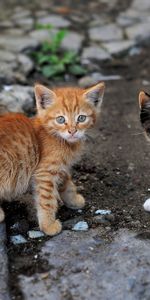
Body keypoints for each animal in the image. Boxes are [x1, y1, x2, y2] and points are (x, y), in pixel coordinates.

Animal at [0, 83, 105, 236]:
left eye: (81, 118)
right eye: (60, 119)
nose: (72, 131)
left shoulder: (60, 168)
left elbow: (66, 182)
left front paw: (73, 200)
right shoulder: (45, 172)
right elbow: (47, 199)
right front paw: (48, 225)